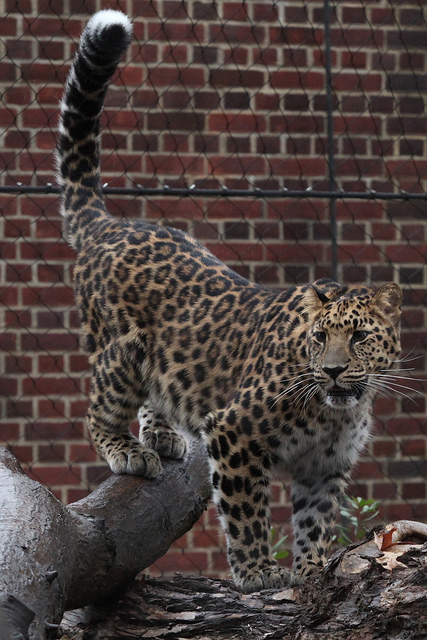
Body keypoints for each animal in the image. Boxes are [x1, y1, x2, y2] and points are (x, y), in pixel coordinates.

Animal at [56, 10, 402, 592]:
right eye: (319, 338)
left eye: (359, 337)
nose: (333, 372)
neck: (335, 411)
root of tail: (112, 225)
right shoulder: (235, 432)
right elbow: (246, 512)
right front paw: (258, 571)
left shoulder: (324, 468)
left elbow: (315, 520)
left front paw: (311, 570)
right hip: (120, 353)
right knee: (97, 410)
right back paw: (129, 451)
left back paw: (163, 435)